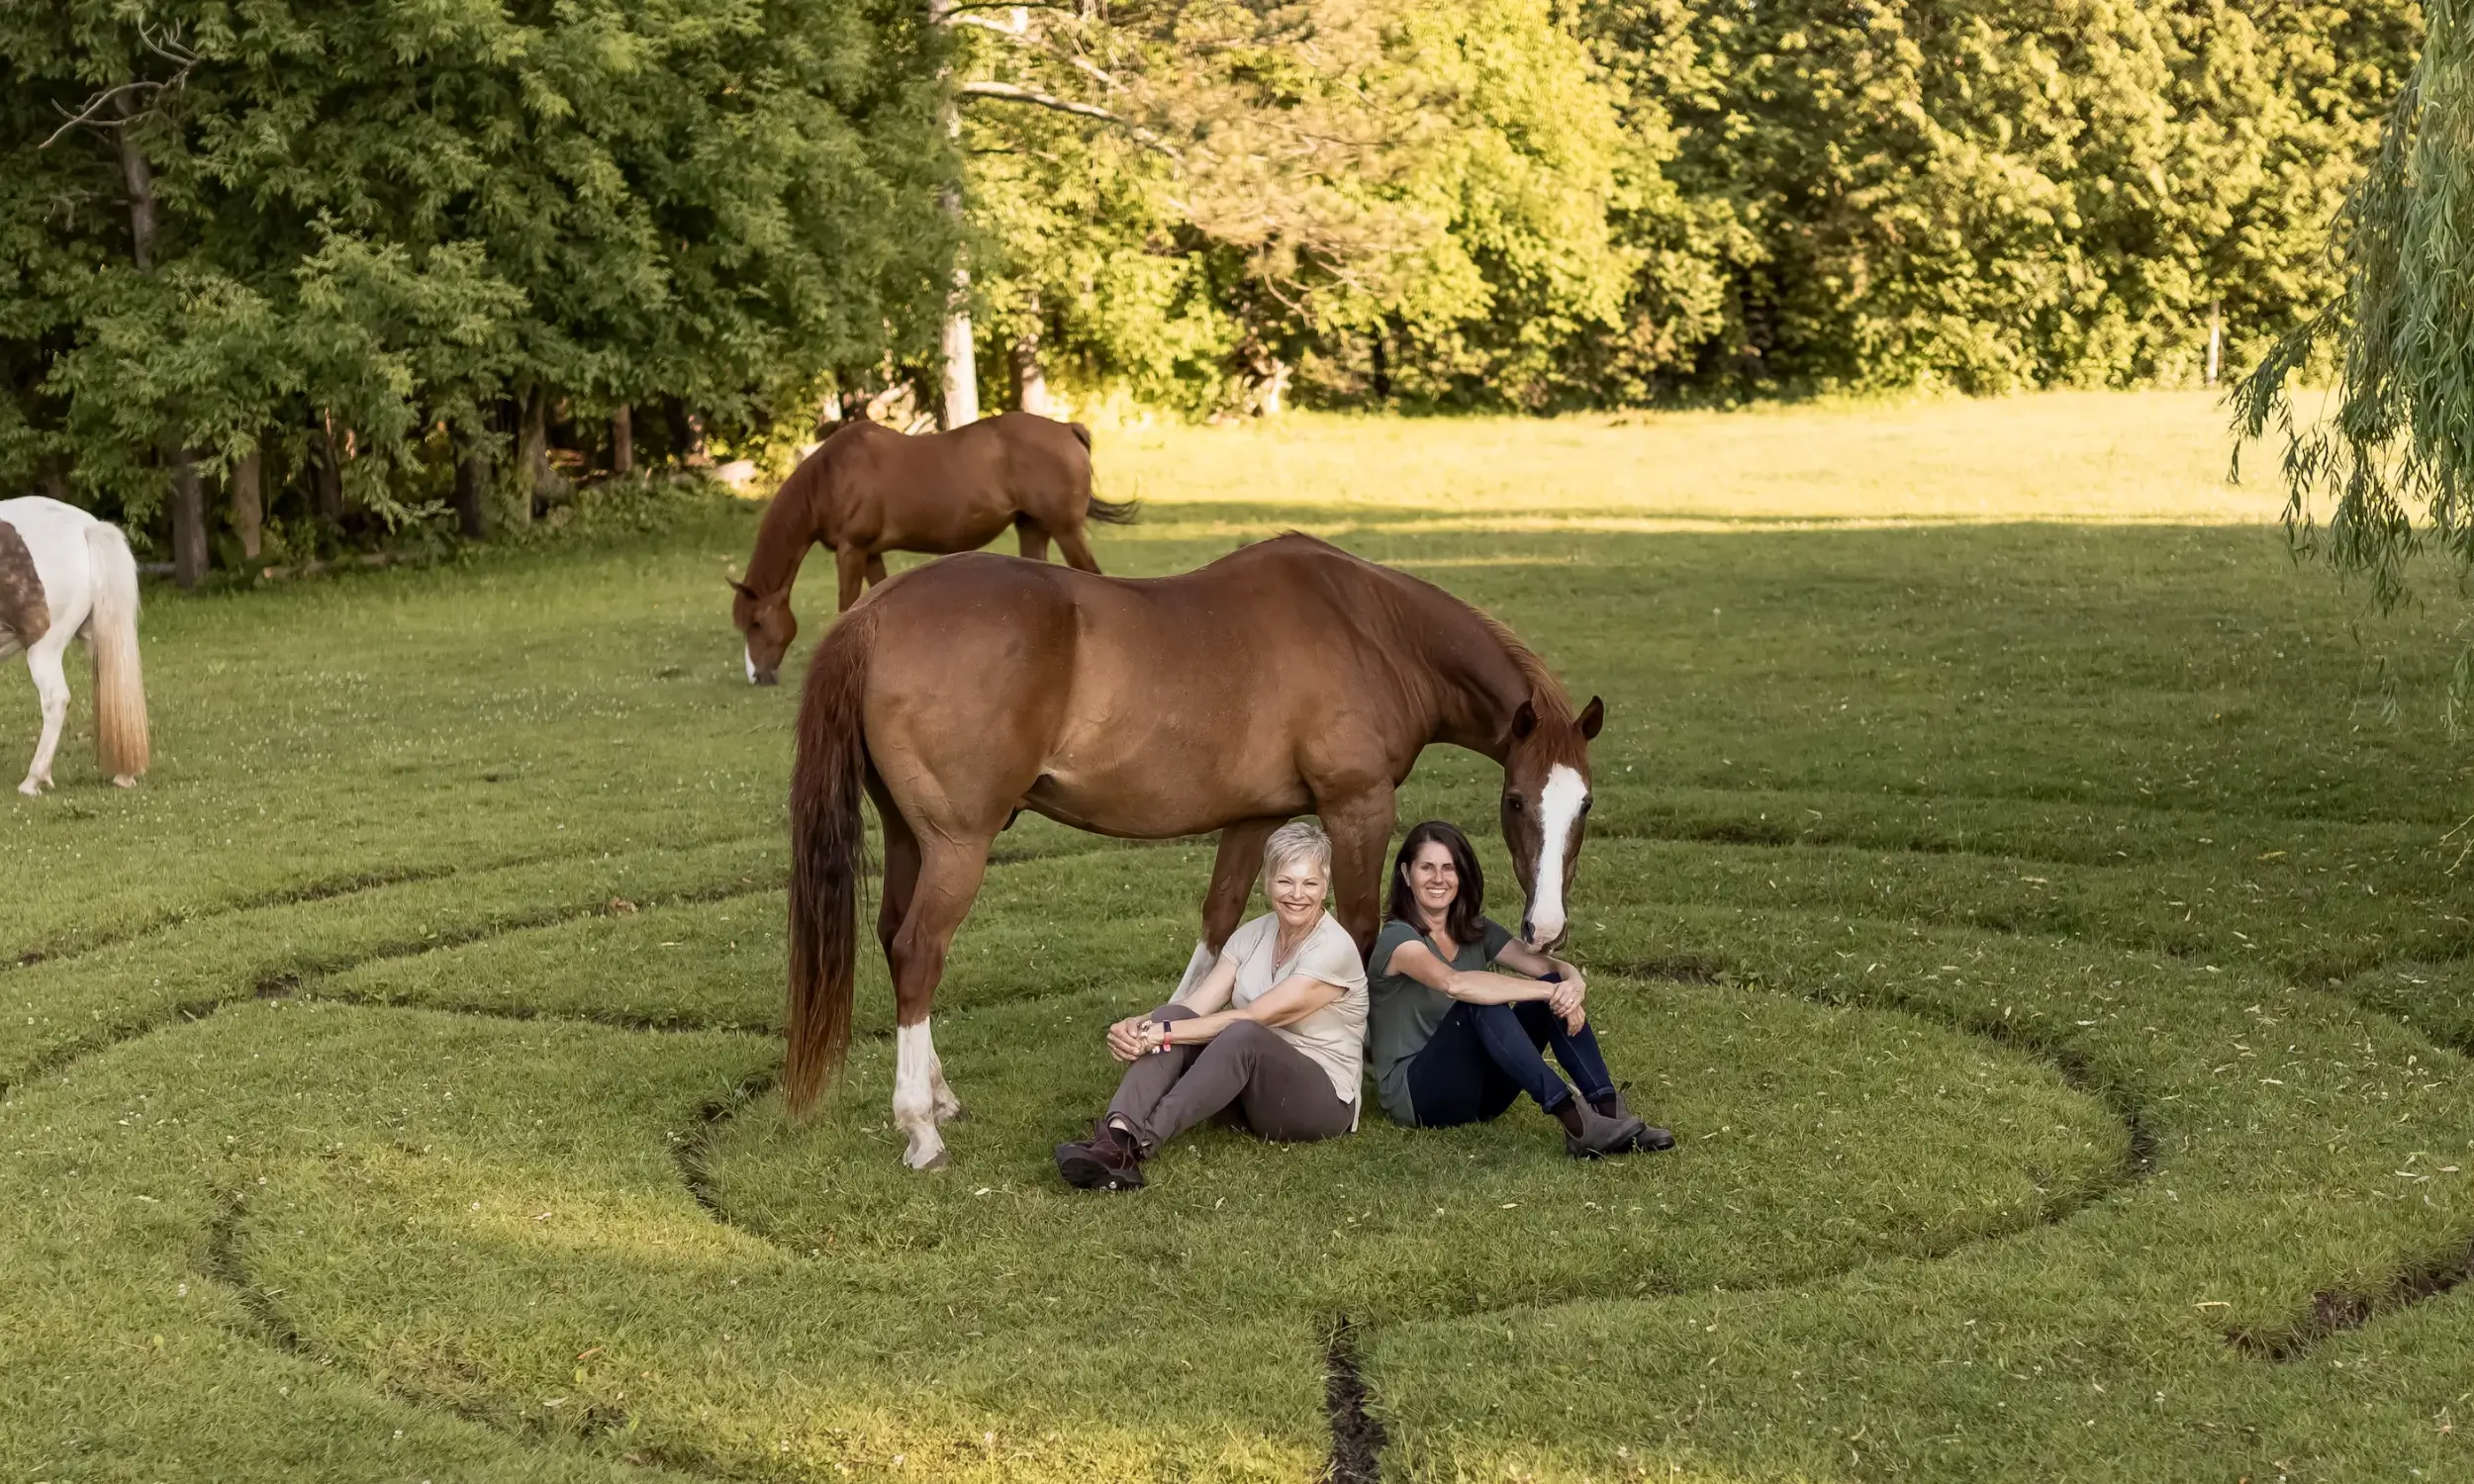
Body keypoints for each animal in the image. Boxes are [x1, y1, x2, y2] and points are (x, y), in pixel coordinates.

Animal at [722, 411, 1133, 688]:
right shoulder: (870, 553)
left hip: (1066, 530)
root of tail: (1067, 429)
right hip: (1032, 529)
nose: (758, 676)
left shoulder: (851, 550)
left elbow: (846, 606)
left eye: (756, 623)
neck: (831, 477)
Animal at [787, 534, 1603, 1172]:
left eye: (1585, 804)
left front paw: (1167, 1035)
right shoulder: (1358, 806)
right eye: (1516, 801)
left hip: (909, 839)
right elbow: (1362, 934)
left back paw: (940, 1096)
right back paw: (919, 1127)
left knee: (894, 940)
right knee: (919, 951)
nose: (1545, 929)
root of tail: (873, 612)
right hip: (959, 844)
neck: (1373, 628)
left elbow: (1217, 930)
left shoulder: (1252, 817)